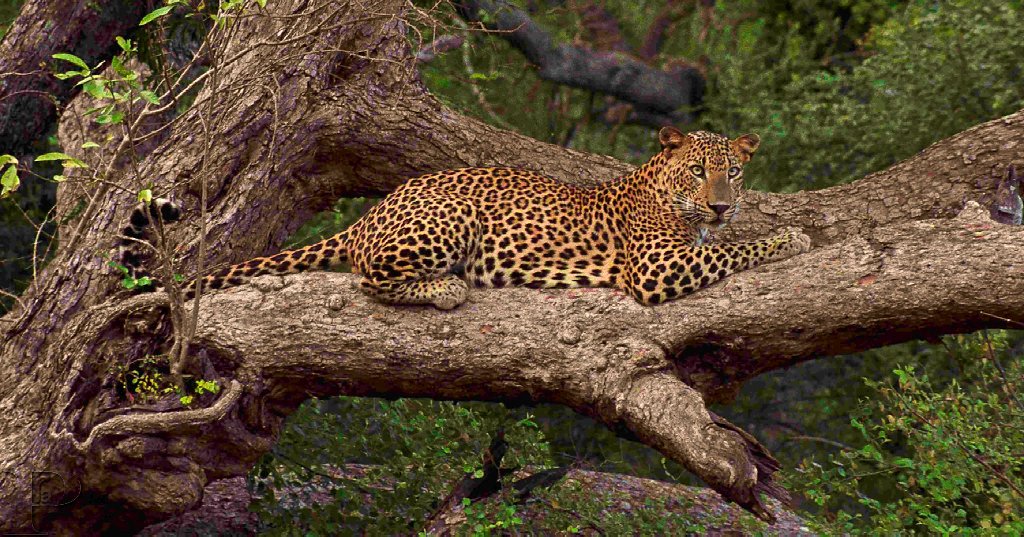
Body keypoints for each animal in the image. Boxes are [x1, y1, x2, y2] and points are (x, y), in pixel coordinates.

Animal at [123, 127, 811, 308]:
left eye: (734, 171)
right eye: (696, 171)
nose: (722, 202)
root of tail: (379, 207)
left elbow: (726, 242)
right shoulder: (657, 267)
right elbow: (732, 249)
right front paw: (791, 237)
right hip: (450, 218)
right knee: (368, 275)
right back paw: (444, 289)